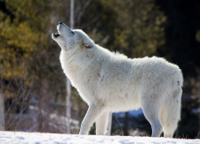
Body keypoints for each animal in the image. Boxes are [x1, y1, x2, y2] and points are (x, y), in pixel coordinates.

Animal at [51, 21, 183, 137]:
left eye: (72, 32)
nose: (60, 22)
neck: (83, 62)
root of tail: (176, 71)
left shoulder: (95, 104)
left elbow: (84, 124)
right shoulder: (103, 110)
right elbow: (99, 132)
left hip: (148, 106)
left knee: (158, 127)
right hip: (165, 111)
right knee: (168, 130)